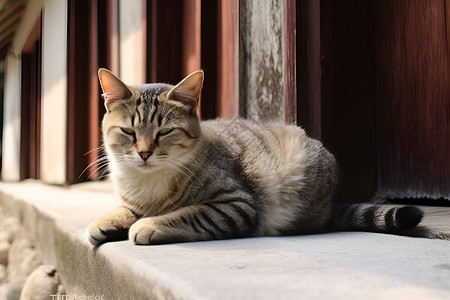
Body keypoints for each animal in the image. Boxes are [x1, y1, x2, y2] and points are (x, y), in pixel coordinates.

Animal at [87, 68, 442, 246]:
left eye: (165, 132)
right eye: (129, 132)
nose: (144, 153)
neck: (148, 183)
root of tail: (330, 206)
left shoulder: (236, 204)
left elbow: (186, 215)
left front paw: (148, 225)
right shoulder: (134, 200)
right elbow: (125, 209)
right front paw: (106, 222)